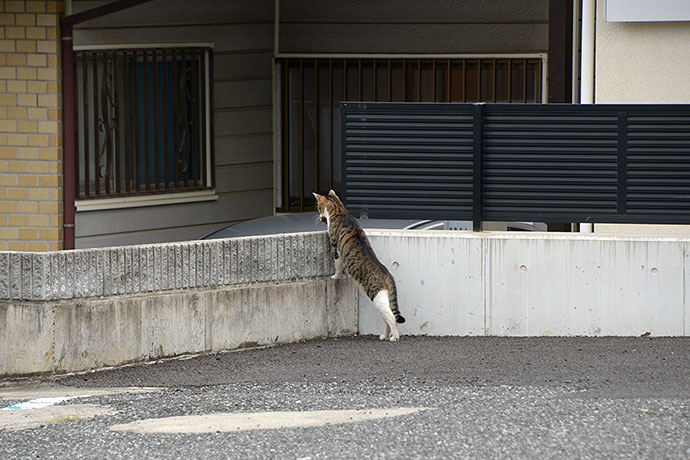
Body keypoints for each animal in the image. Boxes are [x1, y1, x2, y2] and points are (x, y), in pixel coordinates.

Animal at [312, 190, 404, 342]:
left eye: (318, 207)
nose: (318, 216)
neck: (340, 210)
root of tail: (387, 274)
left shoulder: (336, 248)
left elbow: (337, 265)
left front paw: (335, 276)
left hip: (377, 296)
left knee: (391, 317)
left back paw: (395, 337)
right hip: (382, 300)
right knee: (387, 319)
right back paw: (384, 336)